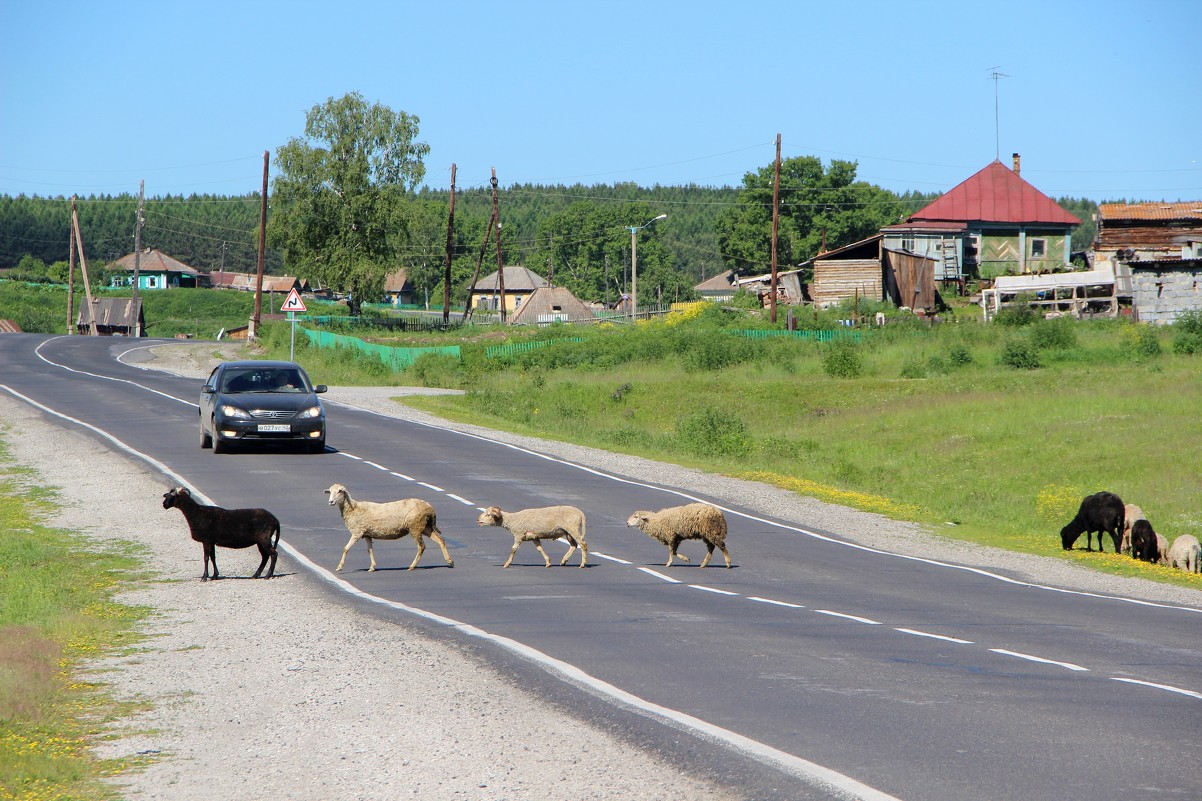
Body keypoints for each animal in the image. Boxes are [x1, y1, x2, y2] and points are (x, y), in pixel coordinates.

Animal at [324, 483, 454, 570]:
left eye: (340, 491)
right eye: (330, 491)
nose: (330, 502)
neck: (353, 508)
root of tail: (430, 508)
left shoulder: (357, 532)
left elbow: (345, 548)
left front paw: (339, 567)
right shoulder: (367, 534)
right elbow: (370, 550)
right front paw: (372, 567)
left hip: (415, 527)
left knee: (421, 546)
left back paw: (412, 566)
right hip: (425, 526)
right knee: (440, 540)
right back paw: (450, 561)